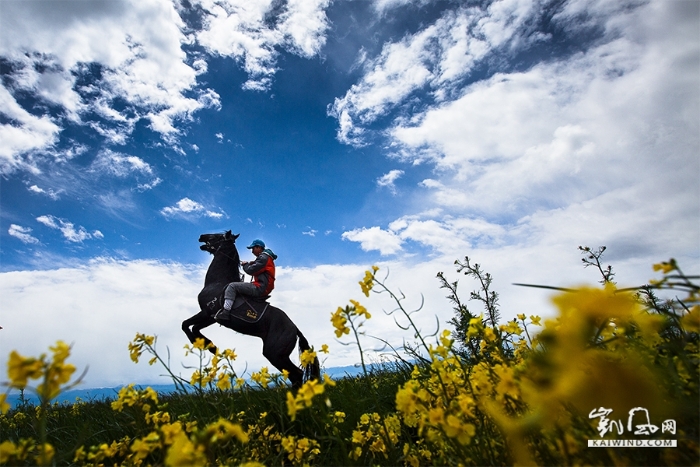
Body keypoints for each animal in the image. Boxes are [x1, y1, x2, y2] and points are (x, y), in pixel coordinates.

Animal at [182, 229, 322, 388]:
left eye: (218, 236)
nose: (201, 236)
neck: (216, 282)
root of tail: (295, 328)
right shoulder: (211, 318)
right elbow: (194, 327)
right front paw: (210, 346)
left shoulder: (206, 313)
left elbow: (185, 325)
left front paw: (203, 344)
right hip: (278, 356)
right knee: (295, 376)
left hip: (275, 354)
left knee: (297, 374)